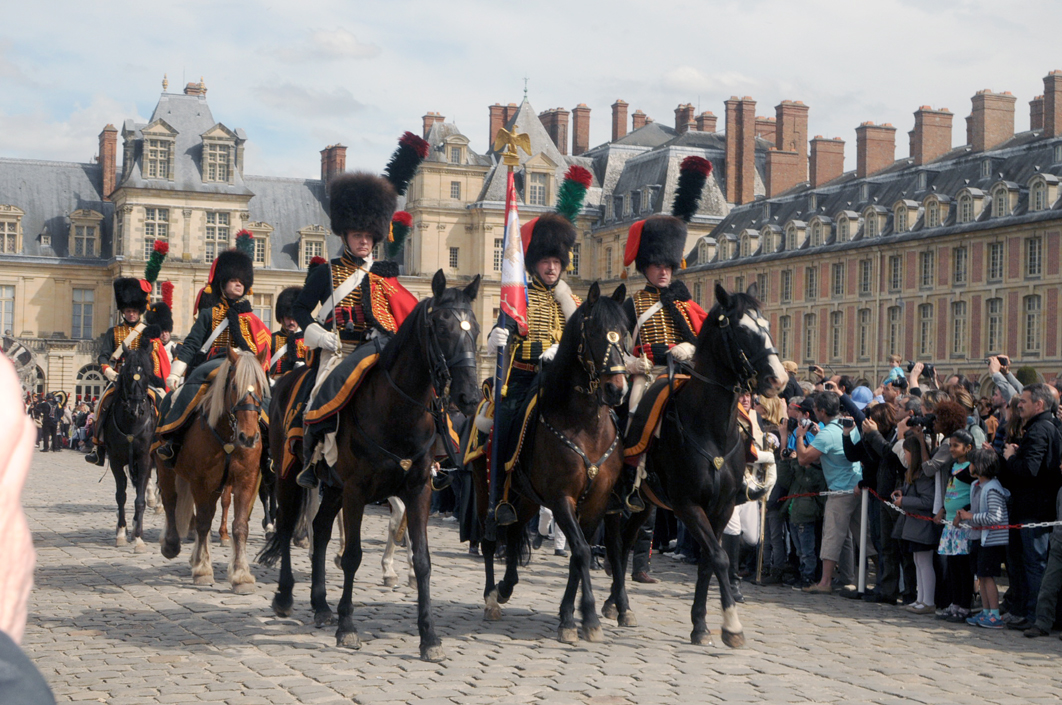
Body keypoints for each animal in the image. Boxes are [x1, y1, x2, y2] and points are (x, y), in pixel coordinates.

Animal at [101, 344, 161, 552]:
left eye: (147, 375)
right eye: (127, 374)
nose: (135, 409)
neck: (132, 423)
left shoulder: (143, 459)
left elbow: (140, 499)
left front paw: (139, 538)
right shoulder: (116, 460)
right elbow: (121, 496)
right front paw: (121, 532)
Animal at [155, 346, 269, 594]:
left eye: (261, 386)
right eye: (234, 386)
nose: (249, 437)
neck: (227, 435)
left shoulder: (245, 481)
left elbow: (240, 526)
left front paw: (241, 575)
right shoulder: (201, 482)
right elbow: (203, 522)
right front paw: (203, 570)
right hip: (165, 468)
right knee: (170, 502)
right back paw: (171, 544)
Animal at [260, 269, 482, 662]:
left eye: (477, 328)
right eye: (441, 327)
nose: (469, 397)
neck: (399, 409)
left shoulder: (417, 490)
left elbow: (423, 560)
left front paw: (429, 636)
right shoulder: (357, 490)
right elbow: (352, 555)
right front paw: (348, 627)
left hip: (332, 487)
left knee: (319, 529)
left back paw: (320, 604)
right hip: (289, 474)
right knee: (287, 527)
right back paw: (285, 596)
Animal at [477, 280, 624, 645]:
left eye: (625, 331)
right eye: (596, 331)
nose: (616, 390)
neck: (584, 425)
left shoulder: (596, 502)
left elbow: (578, 553)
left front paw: (570, 616)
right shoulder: (561, 499)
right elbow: (582, 551)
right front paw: (587, 616)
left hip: (526, 497)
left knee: (515, 530)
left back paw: (506, 586)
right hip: (485, 490)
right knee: (489, 538)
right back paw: (491, 598)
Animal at [603, 284, 785, 645]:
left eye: (767, 326)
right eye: (741, 329)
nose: (778, 379)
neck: (710, 429)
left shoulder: (722, 507)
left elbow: (708, 561)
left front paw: (701, 624)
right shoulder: (688, 505)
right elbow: (719, 556)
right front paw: (731, 625)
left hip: (645, 504)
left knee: (626, 543)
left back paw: (618, 604)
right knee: (614, 543)